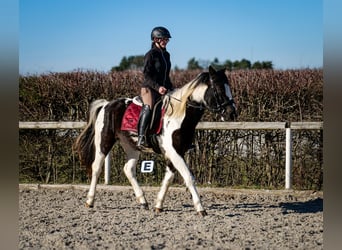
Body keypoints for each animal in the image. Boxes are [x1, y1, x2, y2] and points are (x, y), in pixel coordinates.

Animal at [73, 65, 236, 216]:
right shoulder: (174, 152)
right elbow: (188, 177)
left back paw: (143, 201)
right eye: (219, 90)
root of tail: (107, 104)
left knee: (128, 169)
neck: (179, 116)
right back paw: (90, 201)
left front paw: (158, 205)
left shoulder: (177, 152)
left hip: (132, 146)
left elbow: (169, 178)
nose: (232, 113)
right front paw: (200, 208)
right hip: (104, 141)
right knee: (96, 168)